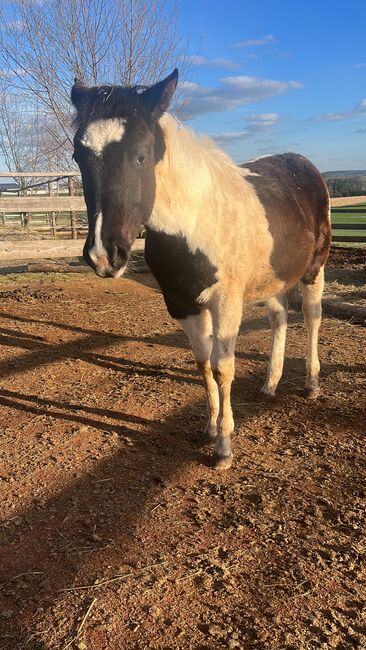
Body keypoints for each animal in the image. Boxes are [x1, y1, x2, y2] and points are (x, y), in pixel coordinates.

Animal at [71, 68, 332, 468]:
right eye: (78, 156)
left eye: (140, 154)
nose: (104, 254)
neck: (196, 224)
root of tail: (305, 166)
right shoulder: (183, 304)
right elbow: (203, 363)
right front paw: (209, 429)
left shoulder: (225, 303)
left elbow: (224, 367)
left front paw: (223, 447)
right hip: (268, 281)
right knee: (279, 318)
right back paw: (270, 384)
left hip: (313, 269)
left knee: (312, 316)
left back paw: (312, 383)